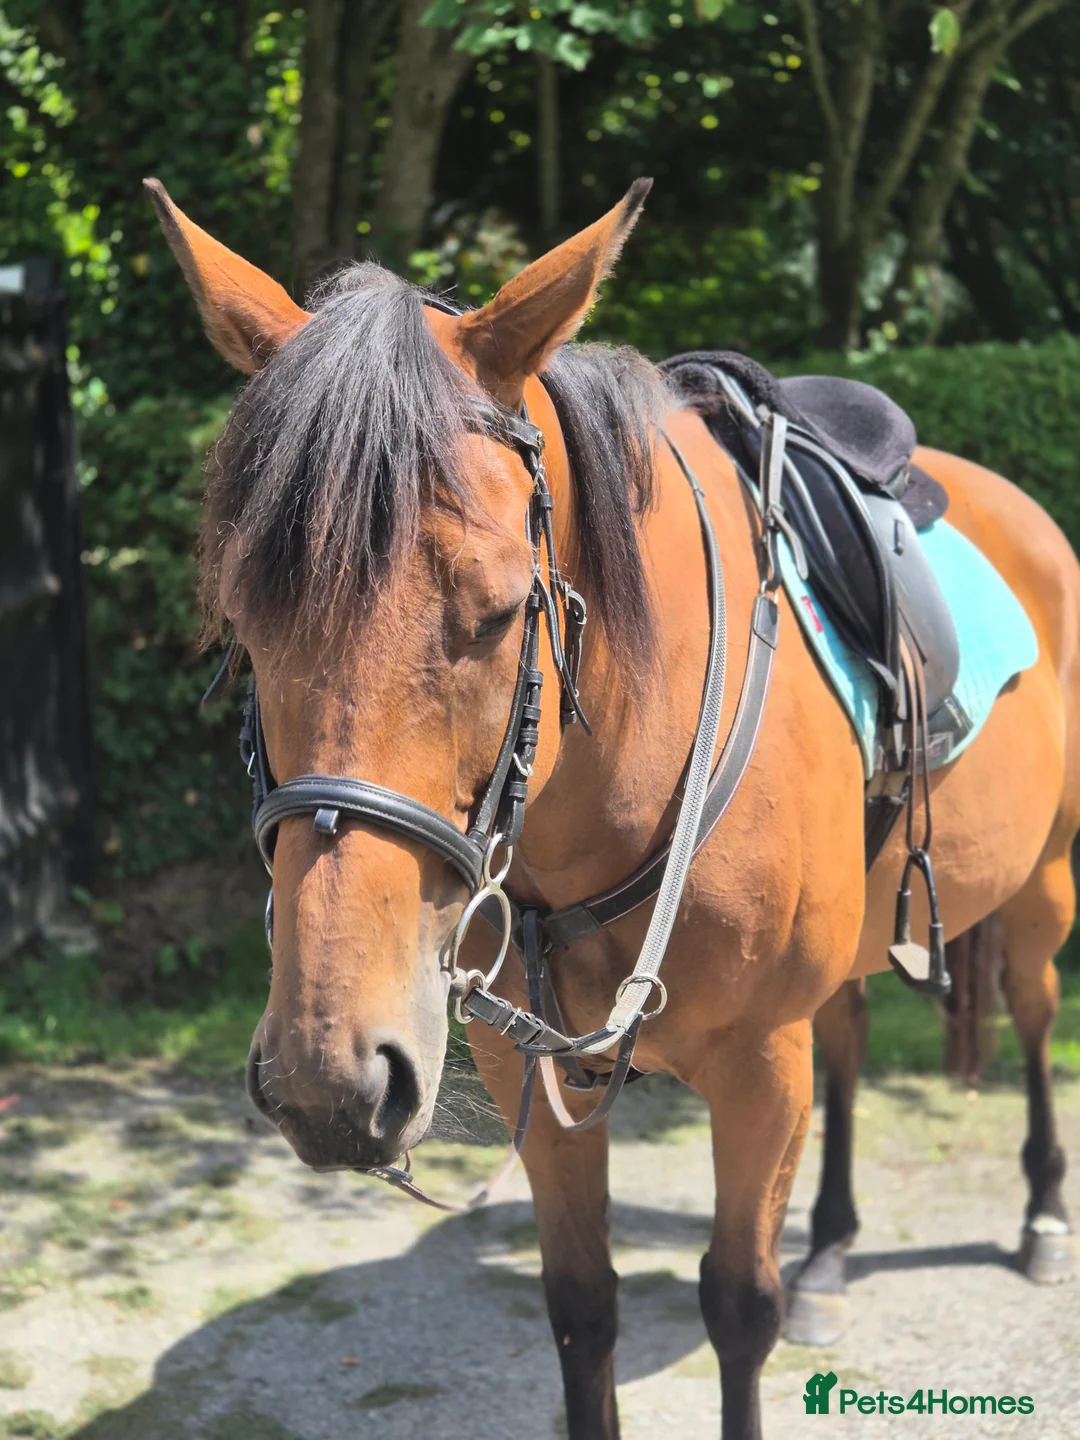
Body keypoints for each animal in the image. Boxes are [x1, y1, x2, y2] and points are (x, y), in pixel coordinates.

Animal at [146, 175, 1078, 1440]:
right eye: (244, 626)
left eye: (501, 612)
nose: (328, 1082)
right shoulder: (518, 1064)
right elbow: (582, 1312)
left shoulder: (756, 1067)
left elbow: (738, 1307)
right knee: (847, 1044)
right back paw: (833, 1251)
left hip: (1042, 882)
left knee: (1032, 1012)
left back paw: (1039, 1218)